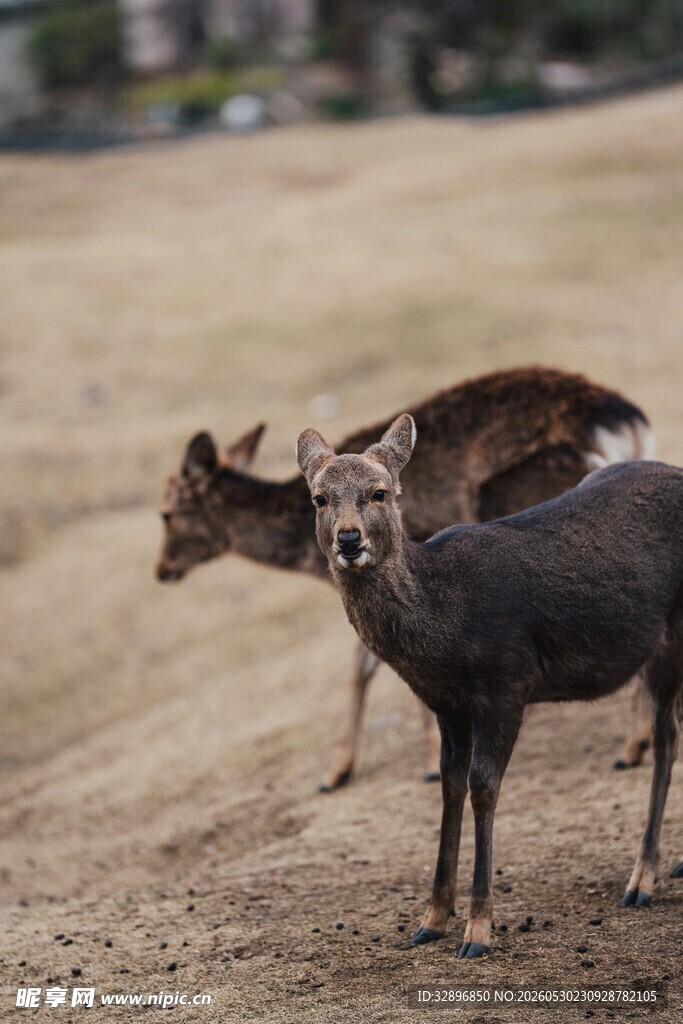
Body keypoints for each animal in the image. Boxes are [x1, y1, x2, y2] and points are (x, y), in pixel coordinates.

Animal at [156, 367, 655, 790]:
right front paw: (341, 770)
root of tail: (626, 422)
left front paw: (375, 768)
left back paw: (629, 745)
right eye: (320, 498)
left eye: (165, 514)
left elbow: (368, 664)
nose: (162, 570)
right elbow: (364, 665)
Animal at [296, 415, 683, 958]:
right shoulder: (446, 703)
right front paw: (431, 919)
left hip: (671, 632)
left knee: (667, 736)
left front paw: (477, 930)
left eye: (379, 492)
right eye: (318, 498)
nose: (348, 540)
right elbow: (449, 784)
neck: (446, 631)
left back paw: (641, 880)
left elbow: (483, 786)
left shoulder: (507, 682)